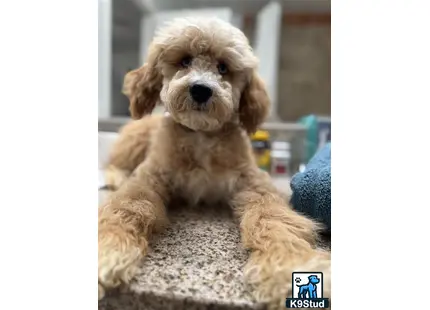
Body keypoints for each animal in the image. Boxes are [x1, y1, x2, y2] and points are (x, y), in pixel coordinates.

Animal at [99, 17, 330, 310]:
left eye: (223, 67)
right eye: (185, 60)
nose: (200, 89)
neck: (201, 136)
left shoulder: (254, 184)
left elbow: (274, 219)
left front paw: (289, 265)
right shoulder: (148, 177)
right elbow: (126, 207)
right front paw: (108, 247)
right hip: (135, 139)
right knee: (114, 163)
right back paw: (115, 177)